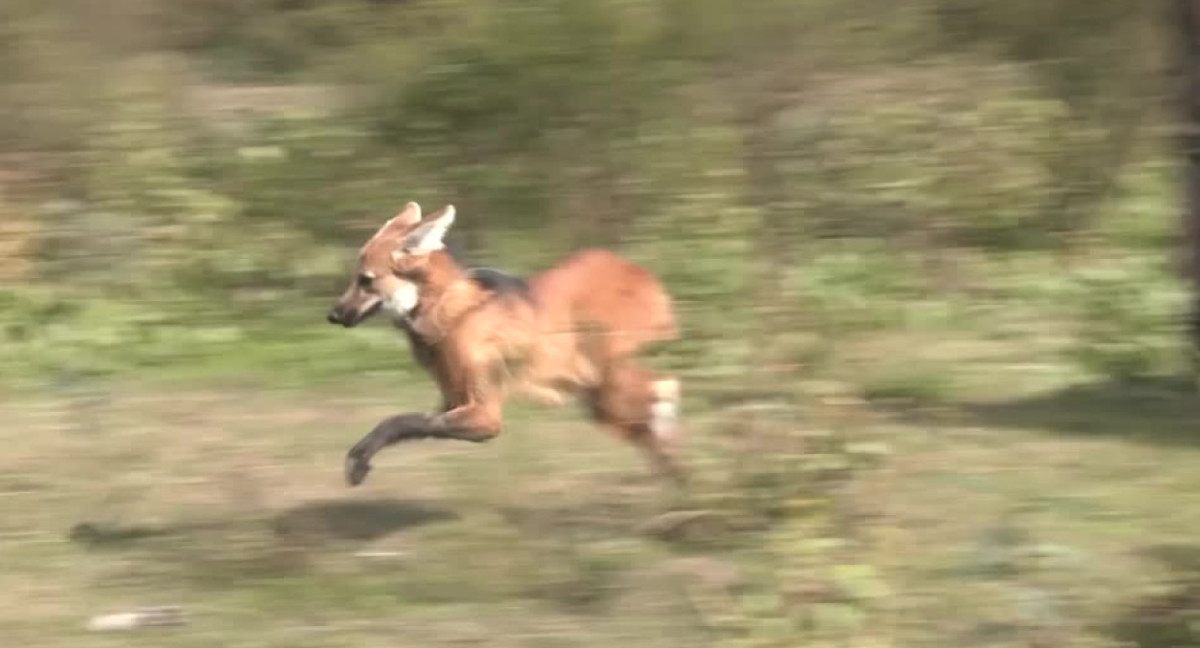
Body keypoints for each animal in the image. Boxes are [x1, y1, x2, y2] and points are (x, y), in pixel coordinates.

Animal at [326, 201, 686, 484]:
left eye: (366, 280)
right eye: (356, 279)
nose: (332, 315)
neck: (447, 309)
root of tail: (637, 269)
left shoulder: (485, 416)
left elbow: (405, 420)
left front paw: (358, 461)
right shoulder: (454, 401)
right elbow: (399, 423)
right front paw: (360, 460)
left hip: (608, 386)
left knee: (663, 388)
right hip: (600, 395)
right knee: (653, 412)